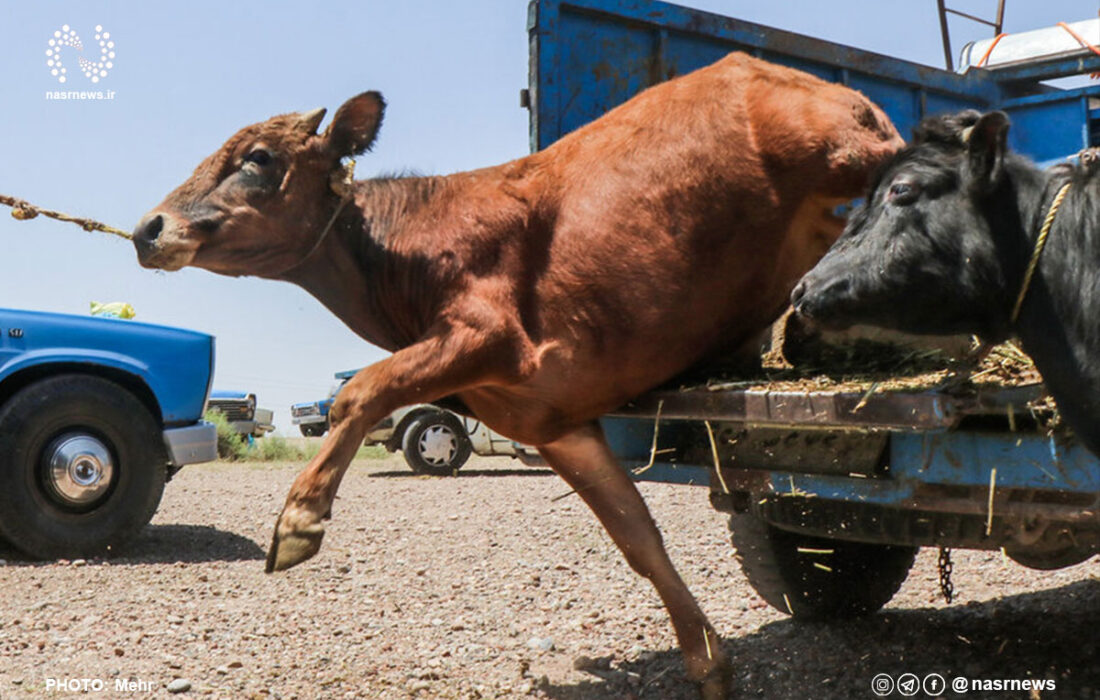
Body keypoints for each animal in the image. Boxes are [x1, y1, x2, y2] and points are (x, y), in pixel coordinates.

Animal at [133, 53, 897, 695]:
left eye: (257, 157)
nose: (148, 227)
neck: (411, 252)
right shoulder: (553, 422)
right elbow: (638, 538)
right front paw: (708, 663)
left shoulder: (493, 336)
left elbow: (362, 390)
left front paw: (300, 519)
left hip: (841, 152)